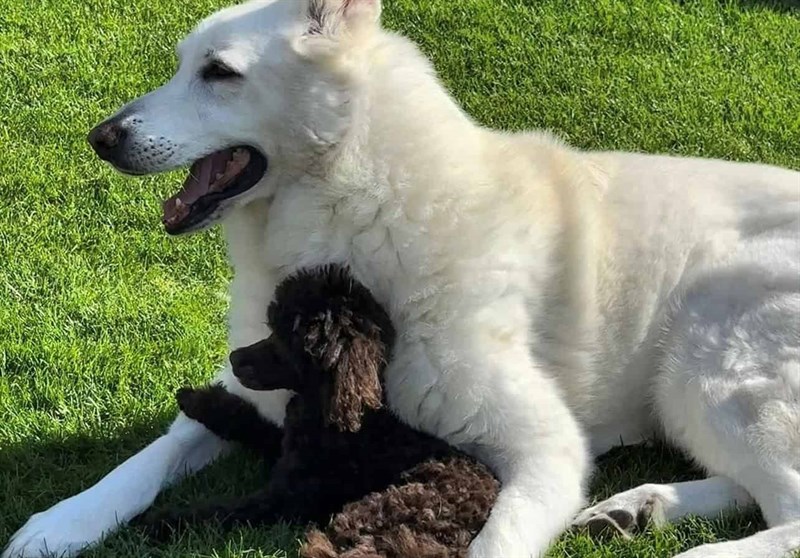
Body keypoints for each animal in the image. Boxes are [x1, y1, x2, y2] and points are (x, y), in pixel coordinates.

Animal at [3, 1, 796, 558]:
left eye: (218, 73)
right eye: (181, 65)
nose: (100, 139)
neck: (354, 202)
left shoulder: (547, 451)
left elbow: (491, 543)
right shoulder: (247, 387)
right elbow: (154, 453)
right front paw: (62, 522)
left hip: (706, 360)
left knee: (787, 512)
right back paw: (637, 510)